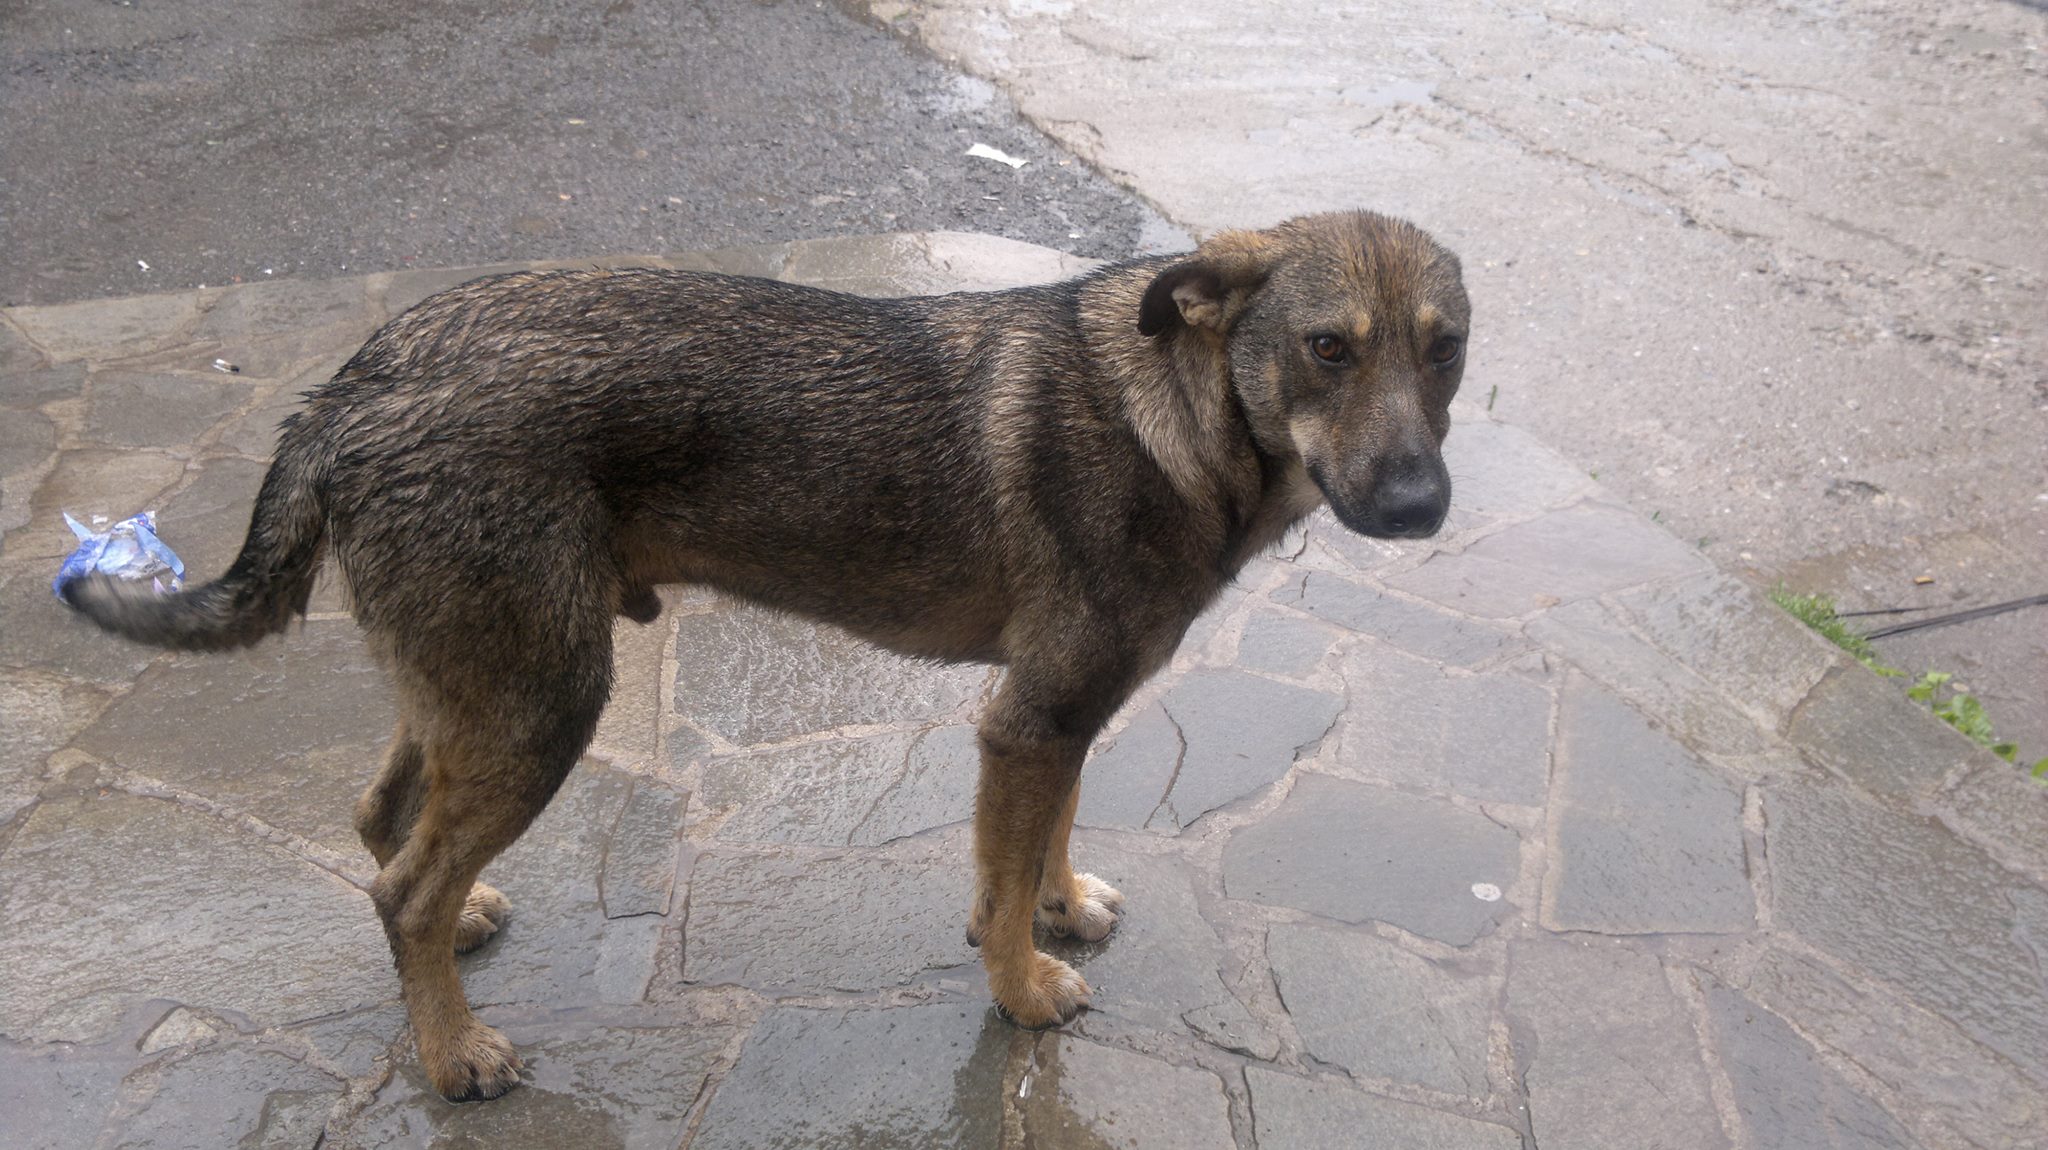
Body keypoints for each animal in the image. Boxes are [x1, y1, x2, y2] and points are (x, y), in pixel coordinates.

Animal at [60, 210, 1470, 1101]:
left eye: (1444, 347)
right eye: (1327, 347)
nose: (1418, 508)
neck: (1177, 412)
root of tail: (351, 386)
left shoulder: (1061, 714)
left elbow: (1048, 837)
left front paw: (1059, 908)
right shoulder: (1029, 718)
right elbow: (1001, 879)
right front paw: (1021, 985)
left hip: (482, 682)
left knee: (383, 820)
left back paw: (455, 938)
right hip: (543, 702)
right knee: (398, 882)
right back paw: (456, 1052)